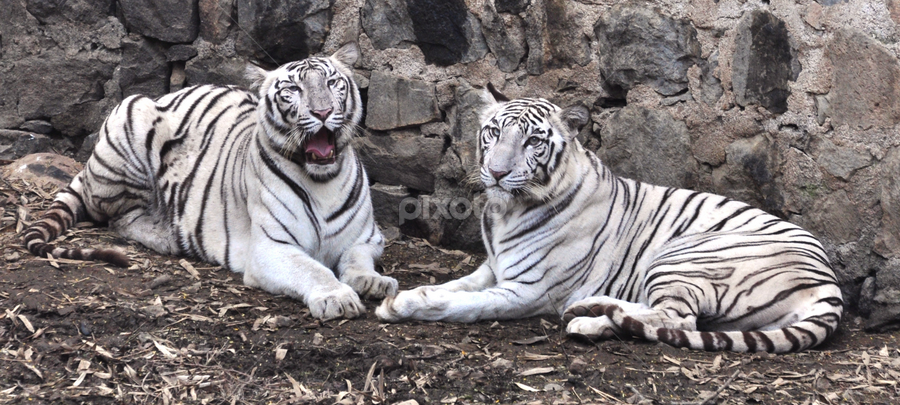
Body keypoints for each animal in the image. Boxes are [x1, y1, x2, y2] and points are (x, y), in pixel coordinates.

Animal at [22, 42, 398, 320]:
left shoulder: (367, 238)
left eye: (333, 83)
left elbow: (356, 260)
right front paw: (337, 297)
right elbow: (313, 269)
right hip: (129, 116)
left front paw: (374, 281)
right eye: (293, 89)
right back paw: (167, 237)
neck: (323, 181)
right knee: (121, 219)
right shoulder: (272, 248)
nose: (322, 112)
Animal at [376, 89, 844, 353]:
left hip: (684, 254)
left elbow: (465, 304)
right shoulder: (492, 267)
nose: (496, 172)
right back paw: (591, 308)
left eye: (532, 141)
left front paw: (402, 306)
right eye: (493, 132)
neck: (506, 211)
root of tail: (829, 282)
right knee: (668, 316)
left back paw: (587, 320)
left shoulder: (527, 290)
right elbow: (454, 286)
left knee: (677, 319)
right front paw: (405, 293)